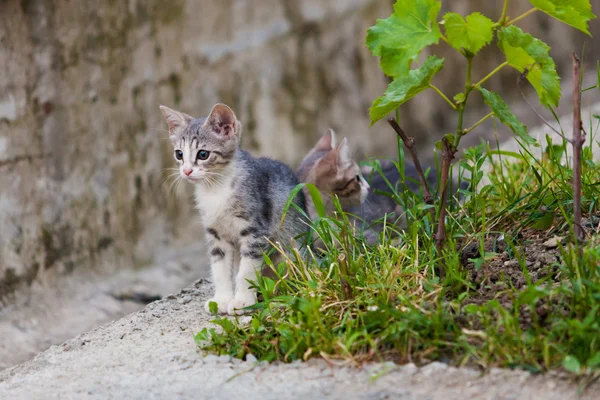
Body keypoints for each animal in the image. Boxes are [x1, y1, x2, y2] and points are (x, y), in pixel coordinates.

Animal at [161, 103, 310, 316]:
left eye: (203, 154)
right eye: (179, 154)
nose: (186, 171)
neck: (215, 189)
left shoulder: (256, 232)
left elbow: (246, 270)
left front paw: (242, 301)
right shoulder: (216, 235)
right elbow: (220, 270)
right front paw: (222, 299)